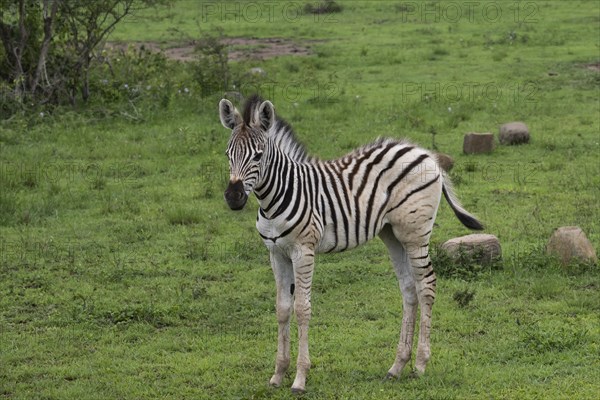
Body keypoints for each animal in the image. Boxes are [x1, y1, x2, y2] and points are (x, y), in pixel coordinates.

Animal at [218, 94, 480, 394]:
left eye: (258, 156)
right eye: (227, 154)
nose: (234, 197)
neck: (275, 198)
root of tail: (422, 152)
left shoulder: (303, 251)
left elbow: (302, 309)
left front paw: (299, 378)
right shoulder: (276, 253)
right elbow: (282, 309)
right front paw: (277, 375)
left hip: (415, 233)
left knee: (426, 284)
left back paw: (421, 365)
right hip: (392, 233)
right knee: (408, 288)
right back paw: (397, 366)